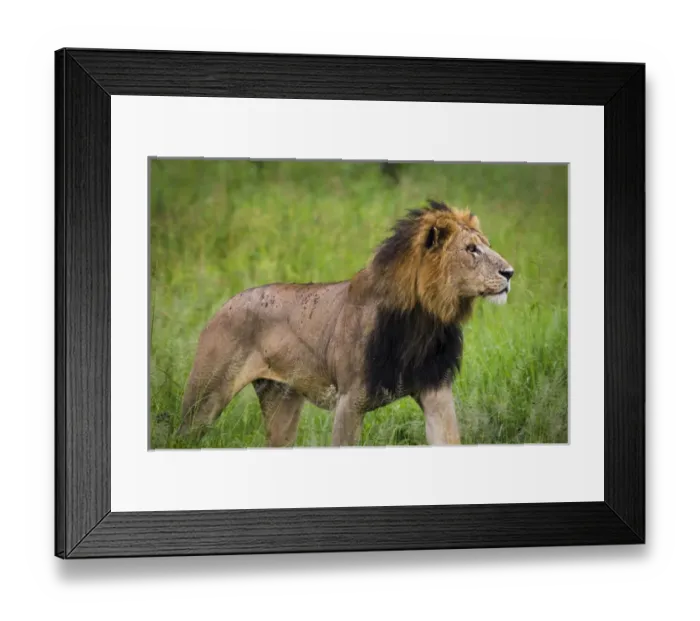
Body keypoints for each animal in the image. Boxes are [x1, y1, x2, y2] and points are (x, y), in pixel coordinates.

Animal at [176, 200, 515, 447]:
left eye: (486, 245)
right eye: (471, 249)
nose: (510, 272)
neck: (424, 321)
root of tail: (224, 305)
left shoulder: (436, 391)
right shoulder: (350, 401)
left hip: (281, 401)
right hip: (205, 399)